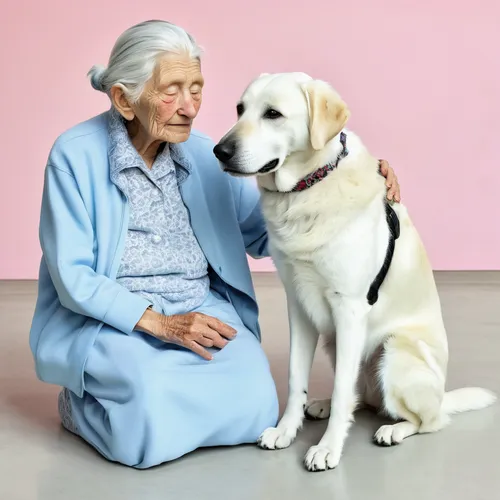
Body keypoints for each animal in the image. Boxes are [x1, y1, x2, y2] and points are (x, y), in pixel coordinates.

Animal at [212, 72, 496, 470]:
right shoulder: (298, 306)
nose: (219, 151)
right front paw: (286, 430)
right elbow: (296, 378)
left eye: (273, 114)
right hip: (336, 342)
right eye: (240, 109)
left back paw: (393, 429)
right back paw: (322, 405)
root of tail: (442, 394)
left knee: (427, 420)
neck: (308, 187)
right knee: (361, 396)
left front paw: (327, 448)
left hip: (394, 351)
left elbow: (342, 388)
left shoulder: (348, 307)